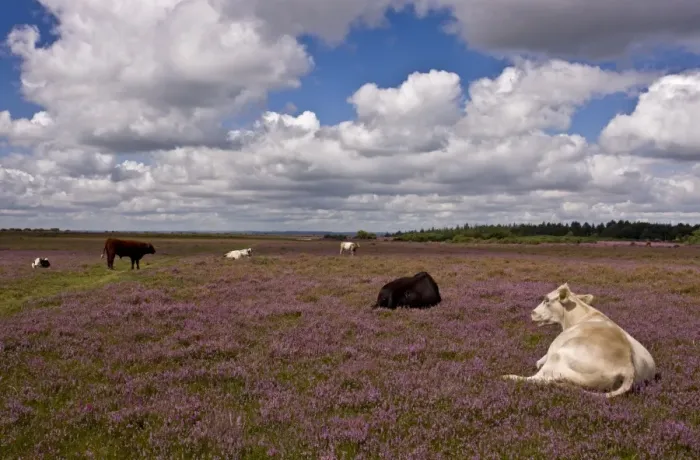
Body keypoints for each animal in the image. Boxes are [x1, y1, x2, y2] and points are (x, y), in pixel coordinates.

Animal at [501, 283, 657, 398]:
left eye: (547, 300)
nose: (532, 313)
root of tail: (627, 366)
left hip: (558, 358)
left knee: (537, 379)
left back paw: (508, 376)